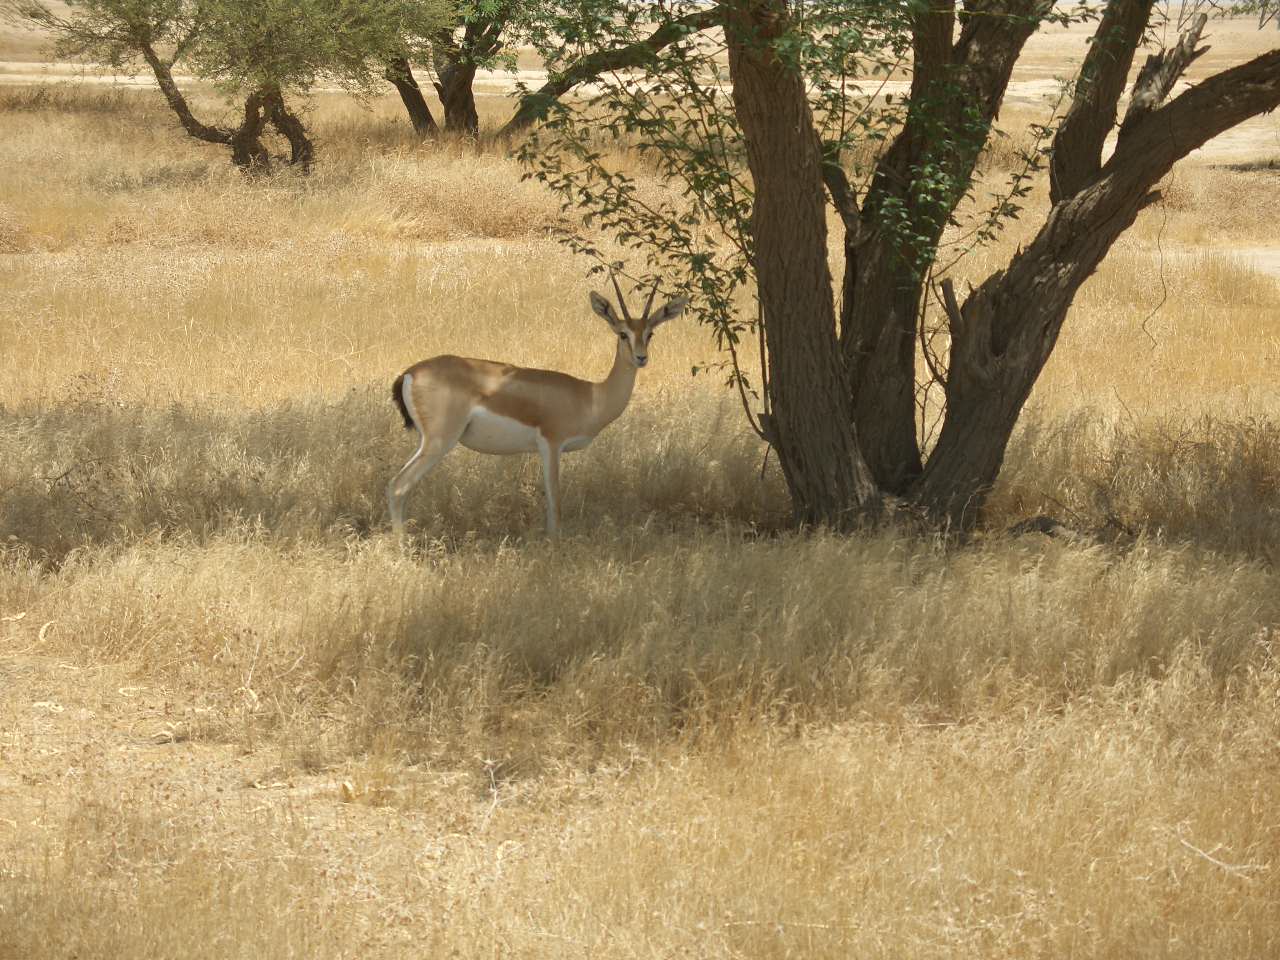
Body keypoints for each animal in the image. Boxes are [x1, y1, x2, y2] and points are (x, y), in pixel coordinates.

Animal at [388, 276, 688, 535]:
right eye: (623, 334)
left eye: (650, 334)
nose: (641, 358)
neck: (590, 396)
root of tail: (410, 373)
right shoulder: (551, 444)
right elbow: (555, 500)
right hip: (440, 442)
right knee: (399, 487)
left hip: (427, 442)